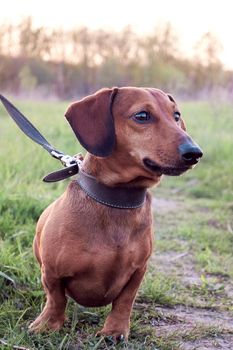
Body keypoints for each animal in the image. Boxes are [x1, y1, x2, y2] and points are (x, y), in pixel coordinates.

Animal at [28, 87, 202, 340]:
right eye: (142, 116)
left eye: (176, 115)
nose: (195, 153)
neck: (116, 200)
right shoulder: (52, 271)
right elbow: (56, 298)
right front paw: (47, 325)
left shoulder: (138, 271)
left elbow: (124, 301)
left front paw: (115, 330)